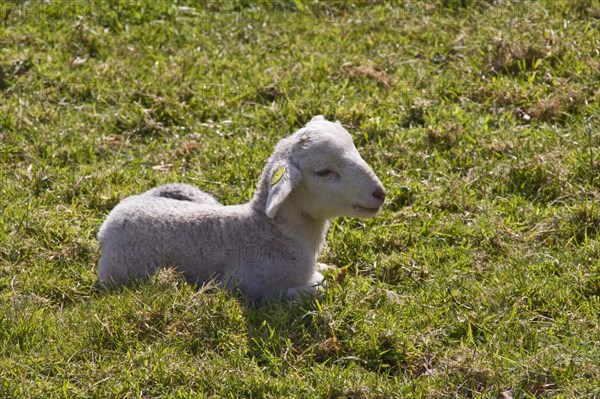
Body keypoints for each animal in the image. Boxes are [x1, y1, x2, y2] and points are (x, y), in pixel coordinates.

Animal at [94, 115, 384, 300]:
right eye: (324, 171)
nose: (380, 193)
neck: (270, 230)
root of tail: (111, 220)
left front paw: (331, 269)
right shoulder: (243, 286)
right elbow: (317, 288)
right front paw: (320, 282)